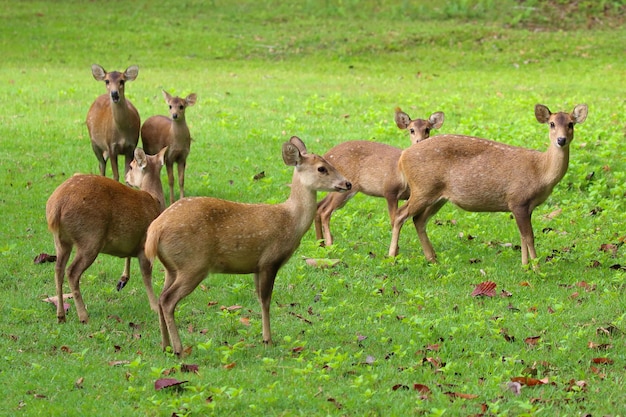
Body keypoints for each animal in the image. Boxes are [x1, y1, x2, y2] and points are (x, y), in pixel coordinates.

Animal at [45, 148, 167, 324]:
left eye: (131, 166)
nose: (126, 177)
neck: (155, 200)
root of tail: (55, 207)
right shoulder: (145, 244)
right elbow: (146, 275)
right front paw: (154, 306)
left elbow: (129, 257)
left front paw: (122, 281)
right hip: (90, 237)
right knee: (72, 272)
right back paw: (83, 316)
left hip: (61, 241)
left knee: (58, 270)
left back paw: (61, 315)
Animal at [144, 136, 354, 354]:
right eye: (322, 168)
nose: (348, 183)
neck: (291, 220)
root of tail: (155, 230)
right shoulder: (269, 260)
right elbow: (266, 300)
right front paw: (268, 340)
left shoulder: (256, 266)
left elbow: (260, 298)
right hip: (193, 264)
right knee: (168, 300)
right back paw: (179, 349)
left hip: (172, 266)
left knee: (161, 297)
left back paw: (165, 345)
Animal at [312, 109, 444, 247]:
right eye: (411, 130)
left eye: (427, 129)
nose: (420, 141)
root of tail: (327, 155)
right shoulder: (389, 190)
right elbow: (394, 220)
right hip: (345, 187)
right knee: (325, 211)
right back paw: (329, 244)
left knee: (319, 206)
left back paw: (320, 243)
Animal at [388, 105, 588, 266]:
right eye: (551, 124)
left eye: (571, 124)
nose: (561, 140)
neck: (540, 171)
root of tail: (403, 157)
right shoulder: (518, 200)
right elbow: (529, 237)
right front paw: (537, 268)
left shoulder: (525, 206)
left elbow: (522, 237)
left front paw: (525, 266)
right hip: (422, 188)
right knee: (400, 215)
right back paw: (392, 256)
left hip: (437, 195)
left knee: (418, 219)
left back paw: (432, 258)